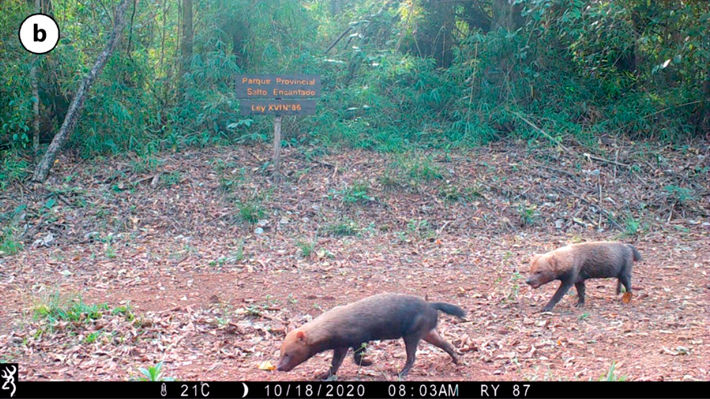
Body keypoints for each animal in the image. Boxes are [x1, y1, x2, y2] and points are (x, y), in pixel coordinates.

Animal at [278, 294, 468, 382]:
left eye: (287, 353)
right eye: (280, 352)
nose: (279, 367)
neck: (333, 326)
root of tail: (431, 305)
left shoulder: (359, 338)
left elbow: (357, 357)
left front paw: (369, 363)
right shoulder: (341, 345)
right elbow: (335, 364)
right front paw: (324, 375)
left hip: (412, 335)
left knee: (412, 357)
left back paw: (401, 373)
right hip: (427, 333)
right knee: (446, 344)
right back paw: (457, 360)